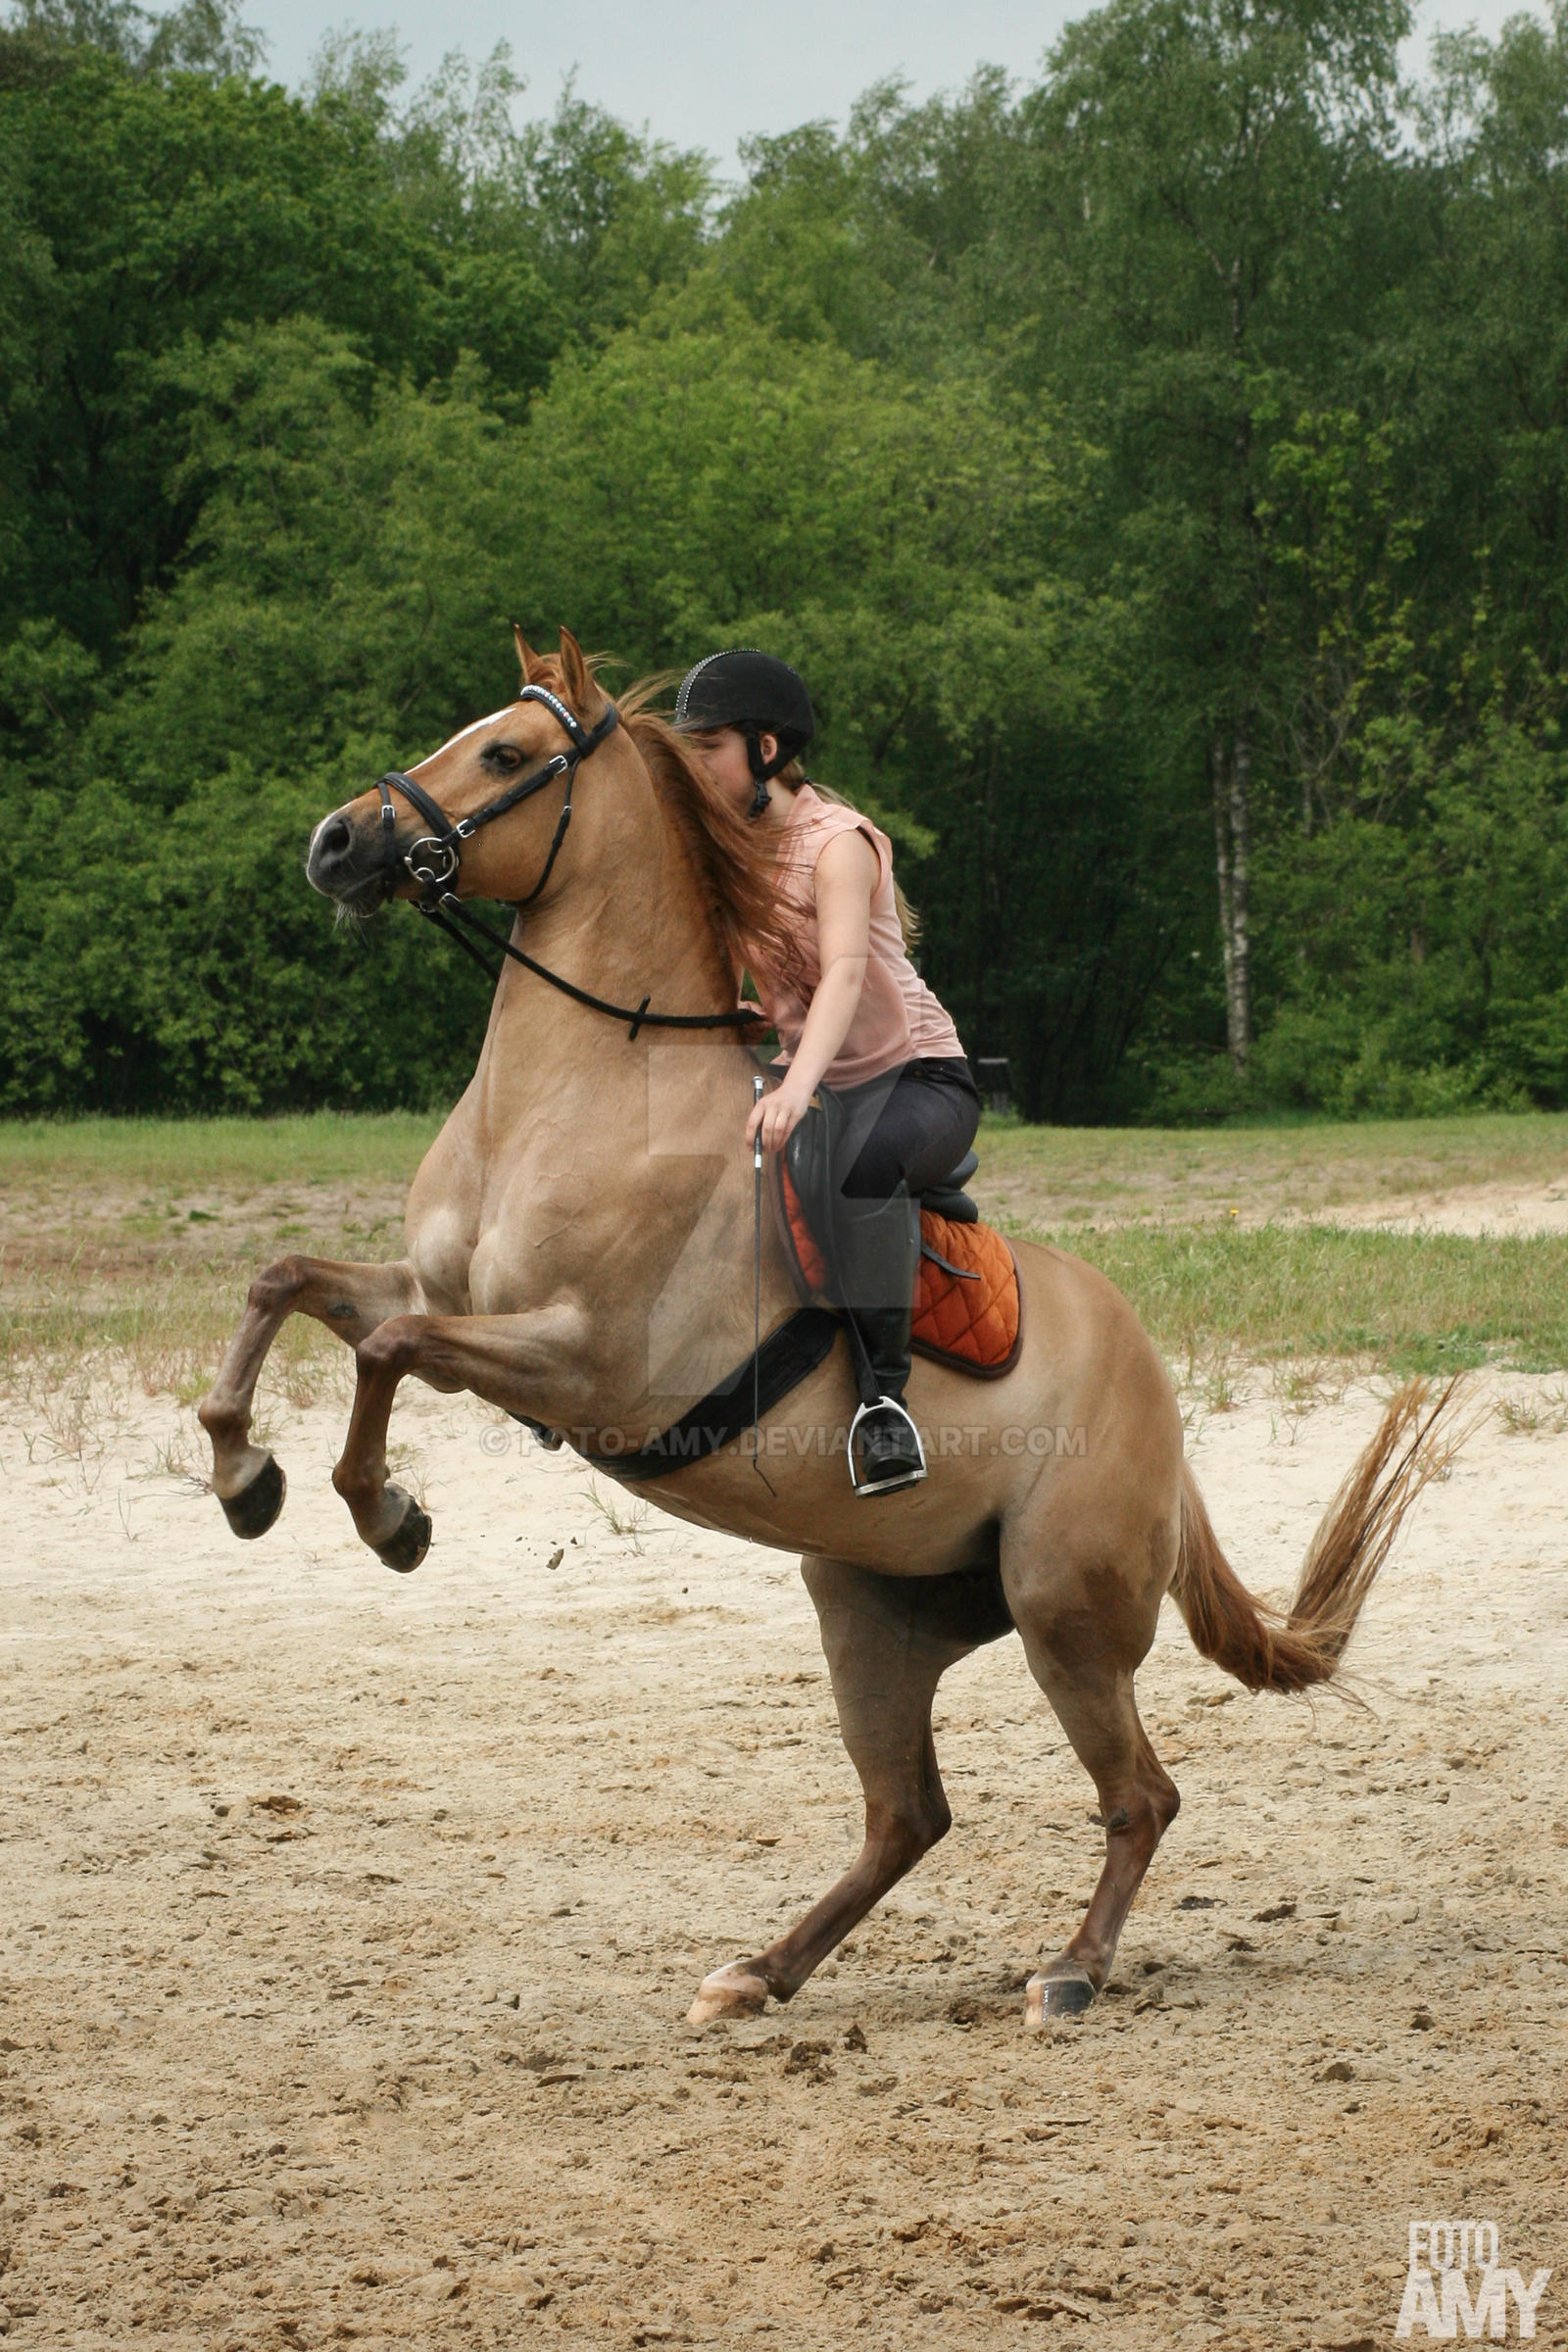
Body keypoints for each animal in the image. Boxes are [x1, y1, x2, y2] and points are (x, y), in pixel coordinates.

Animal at [198, 628, 1464, 2031]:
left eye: (507, 753)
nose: (334, 843)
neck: (585, 1091)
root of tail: (1158, 1403)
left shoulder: (582, 1363)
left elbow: (380, 1354)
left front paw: (387, 1516)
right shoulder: (445, 1299)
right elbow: (285, 1282)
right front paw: (244, 1476)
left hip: (1062, 1614)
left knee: (1138, 1796)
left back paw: (1069, 1972)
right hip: (869, 1610)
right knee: (906, 1815)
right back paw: (761, 1971)